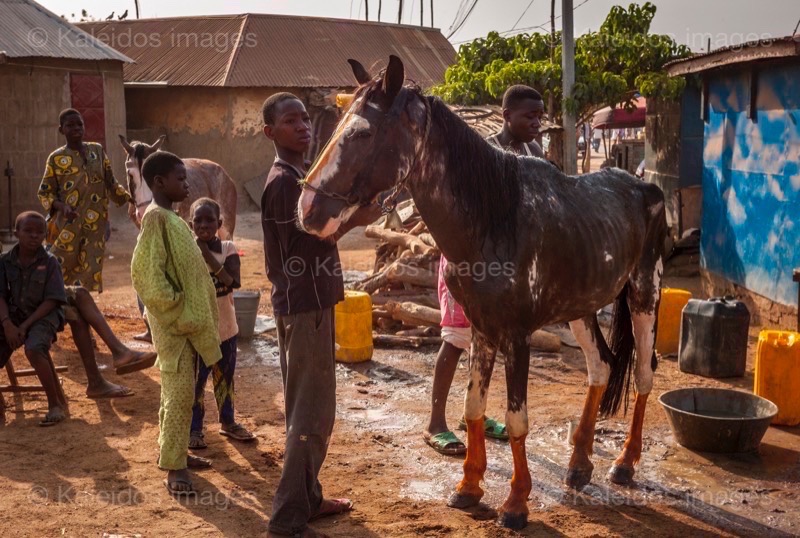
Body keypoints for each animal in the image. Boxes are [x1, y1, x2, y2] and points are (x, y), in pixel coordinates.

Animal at [296, 54, 664, 528]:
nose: (308, 210)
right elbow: (473, 409)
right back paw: (580, 465)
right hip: (579, 307)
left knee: (643, 372)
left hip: (644, 294)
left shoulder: (517, 336)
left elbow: (516, 419)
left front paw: (516, 503)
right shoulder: (481, 328)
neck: (493, 220)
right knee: (600, 366)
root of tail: (645, 185)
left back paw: (625, 463)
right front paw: (469, 487)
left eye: (361, 132)